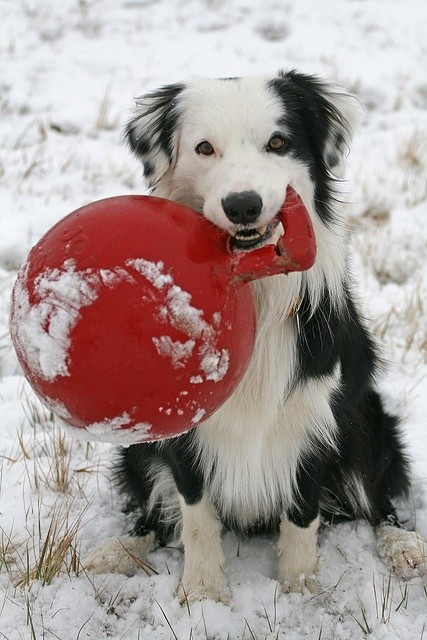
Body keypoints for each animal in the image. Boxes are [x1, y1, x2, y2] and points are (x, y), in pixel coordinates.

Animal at [83, 71, 424, 604]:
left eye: (278, 143)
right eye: (205, 148)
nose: (243, 205)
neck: (256, 289)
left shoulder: (314, 411)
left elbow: (303, 512)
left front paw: (301, 588)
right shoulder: (183, 424)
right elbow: (195, 511)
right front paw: (203, 593)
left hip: (369, 422)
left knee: (378, 498)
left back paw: (403, 544)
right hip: (137, 444)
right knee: (154, 515)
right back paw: (117, 549)